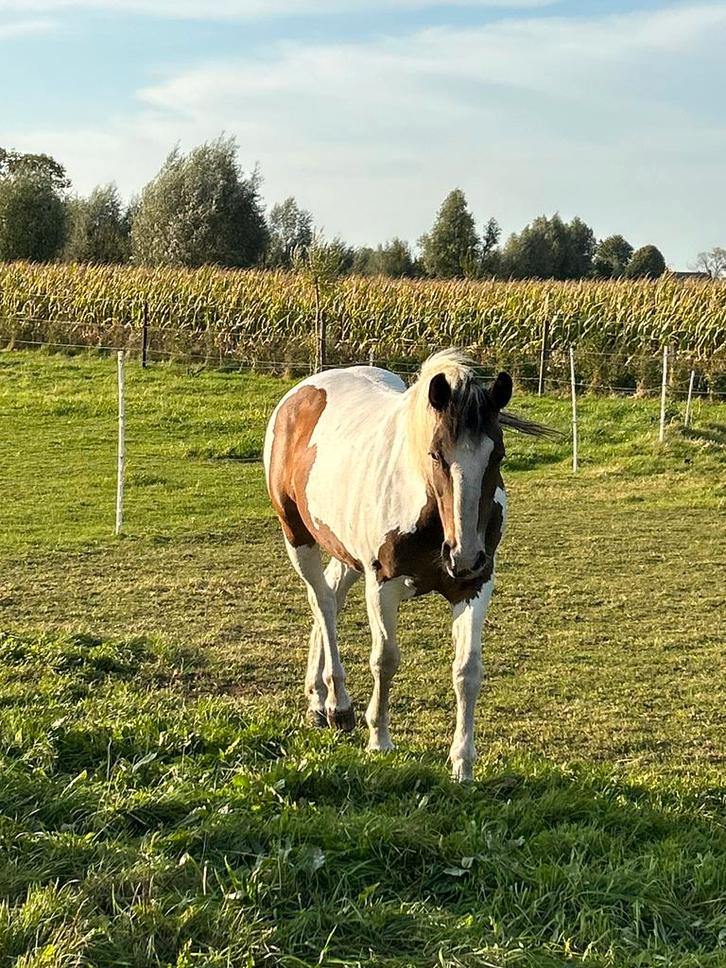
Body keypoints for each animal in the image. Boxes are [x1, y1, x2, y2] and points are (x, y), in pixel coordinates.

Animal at [263, 349, 550, 780]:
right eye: (436, 454)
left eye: (497, 455)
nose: (463, 555)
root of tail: (302, 393)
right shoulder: (382, 583)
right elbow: (385, 659)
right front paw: (379, 739)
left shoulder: (475, 586)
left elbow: (467, 671)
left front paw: (463, 764)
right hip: (298, 538)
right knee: (323, 604)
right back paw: (337, 706)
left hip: (346, 554)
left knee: (330, 595)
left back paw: (317, 699)